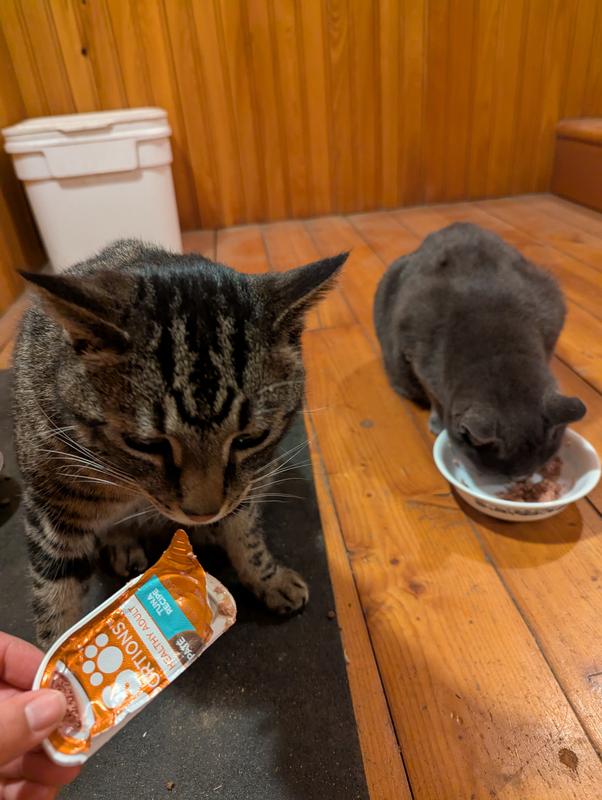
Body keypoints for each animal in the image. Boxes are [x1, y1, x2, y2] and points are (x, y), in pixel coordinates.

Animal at [13, 239, 347, 647]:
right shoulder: (52, 510)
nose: (203, 512)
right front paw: (53, 658)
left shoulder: (248, 484)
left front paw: (268, 578)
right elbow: (54, 599)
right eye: (145, 444)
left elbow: (247, 535)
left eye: (250, 438)